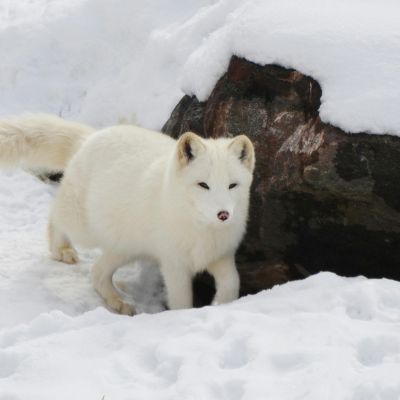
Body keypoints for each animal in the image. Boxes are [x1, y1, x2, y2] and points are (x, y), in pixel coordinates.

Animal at [0, 113, 255, 316]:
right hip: (85, 229)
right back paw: (61, 250)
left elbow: (232, 283)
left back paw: (118, 302)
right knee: (55, 215)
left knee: (97, 273)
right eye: (203, 185)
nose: (223, 214)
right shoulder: (174, 264)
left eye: (232, 185)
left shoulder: (221, 256)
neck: (202, 230)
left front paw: (222, 305)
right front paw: (181, 317)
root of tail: (90, 138)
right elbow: (181, 301)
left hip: (125, 247)